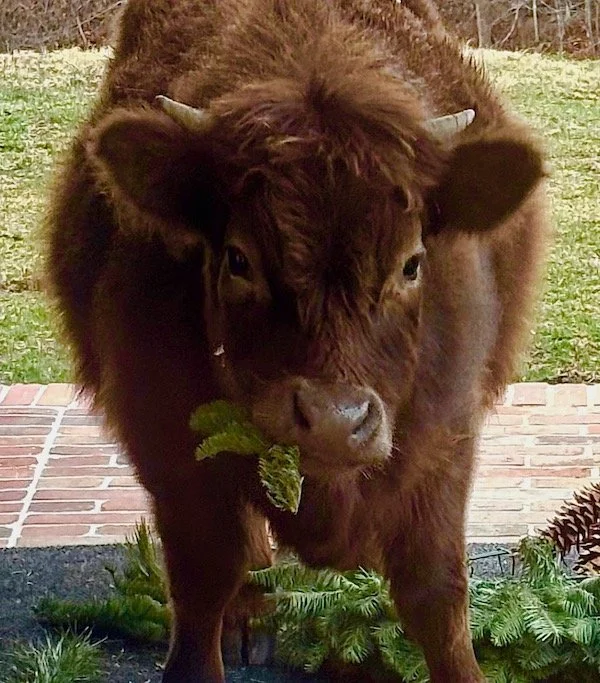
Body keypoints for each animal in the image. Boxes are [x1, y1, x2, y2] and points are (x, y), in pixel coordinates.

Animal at [45, 0, 549, 681]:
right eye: (239, 260)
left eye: (411, 264)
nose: (335, 422)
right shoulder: (167, 440)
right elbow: (205, 577)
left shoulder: (444, 438)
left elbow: (436, 592)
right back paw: (250, 617)